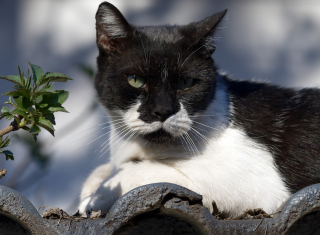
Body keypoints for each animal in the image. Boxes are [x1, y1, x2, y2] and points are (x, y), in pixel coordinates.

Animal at [79, 1, 320, 218]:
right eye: (135, 80)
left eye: (186, 83)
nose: (163, 110)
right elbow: (101, 172)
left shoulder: (256, 186)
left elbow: (142, 173)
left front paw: (93, 199)